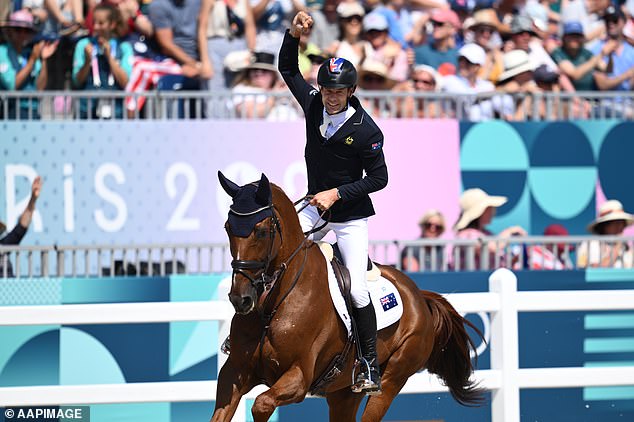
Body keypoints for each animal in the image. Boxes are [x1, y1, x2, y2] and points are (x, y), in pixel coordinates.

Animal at [210, 172, 482, 422]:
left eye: (262, 231)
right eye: (227, 228)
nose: (241, 299)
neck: (274, 303)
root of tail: (419, 296)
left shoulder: (298, 377)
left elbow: (262, 404)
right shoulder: (234, 373)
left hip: (391, 379)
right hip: (343, 393)